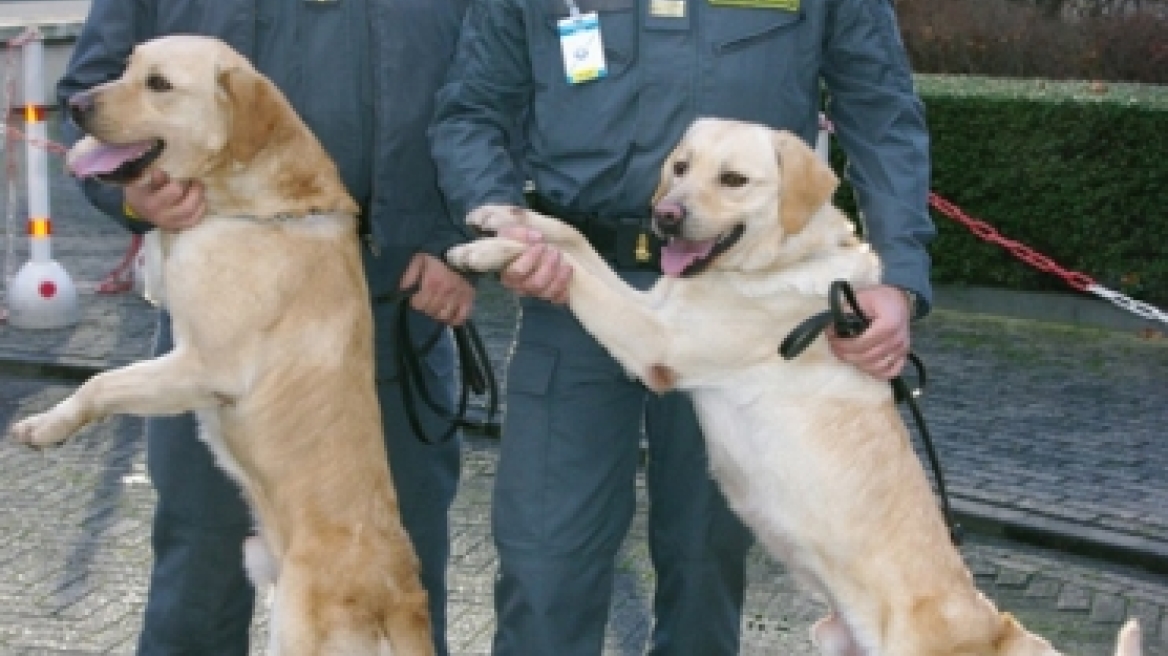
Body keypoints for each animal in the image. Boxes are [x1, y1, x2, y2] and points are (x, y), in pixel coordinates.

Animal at [6, 37, 436, 653]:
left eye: (158, 83)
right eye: (127, 66)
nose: (77, 103)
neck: (252, 207)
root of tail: (400, 595)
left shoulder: (205, 366)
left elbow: (101, 382)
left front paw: (48, 426)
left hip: (295, 633)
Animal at [448, 117, 1139, 653]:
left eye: (733, 179)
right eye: (680, 166)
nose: (664, 218)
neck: (777, 263)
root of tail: (998, 626)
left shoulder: (654, 342)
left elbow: (575, 268)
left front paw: (492, 254)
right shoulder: (653, 307)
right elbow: (572, 238)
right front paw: (502, 216)